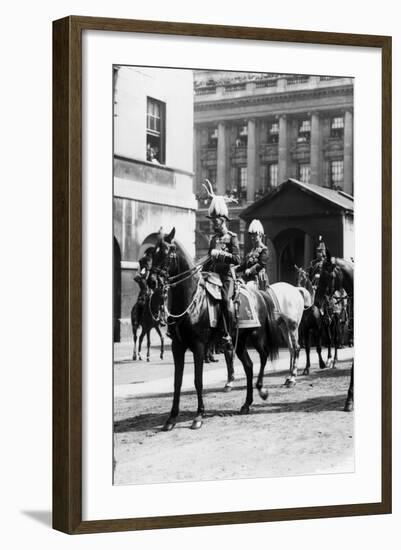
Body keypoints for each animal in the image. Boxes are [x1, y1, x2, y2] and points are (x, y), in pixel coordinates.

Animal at [151, 229, 282, 432]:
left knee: (264, 356)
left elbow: (198, 380)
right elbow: (177, 381)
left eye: (166, 253)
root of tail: (259, 294)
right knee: (249, 366)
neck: (191, 301)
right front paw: (171, 418)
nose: (151, 281)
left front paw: (198, 416)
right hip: (239, 341)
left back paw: (262, 390)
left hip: (256, 336)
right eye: (152, 253)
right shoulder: (177, 347)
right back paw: (246, 404)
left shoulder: (198, 346)